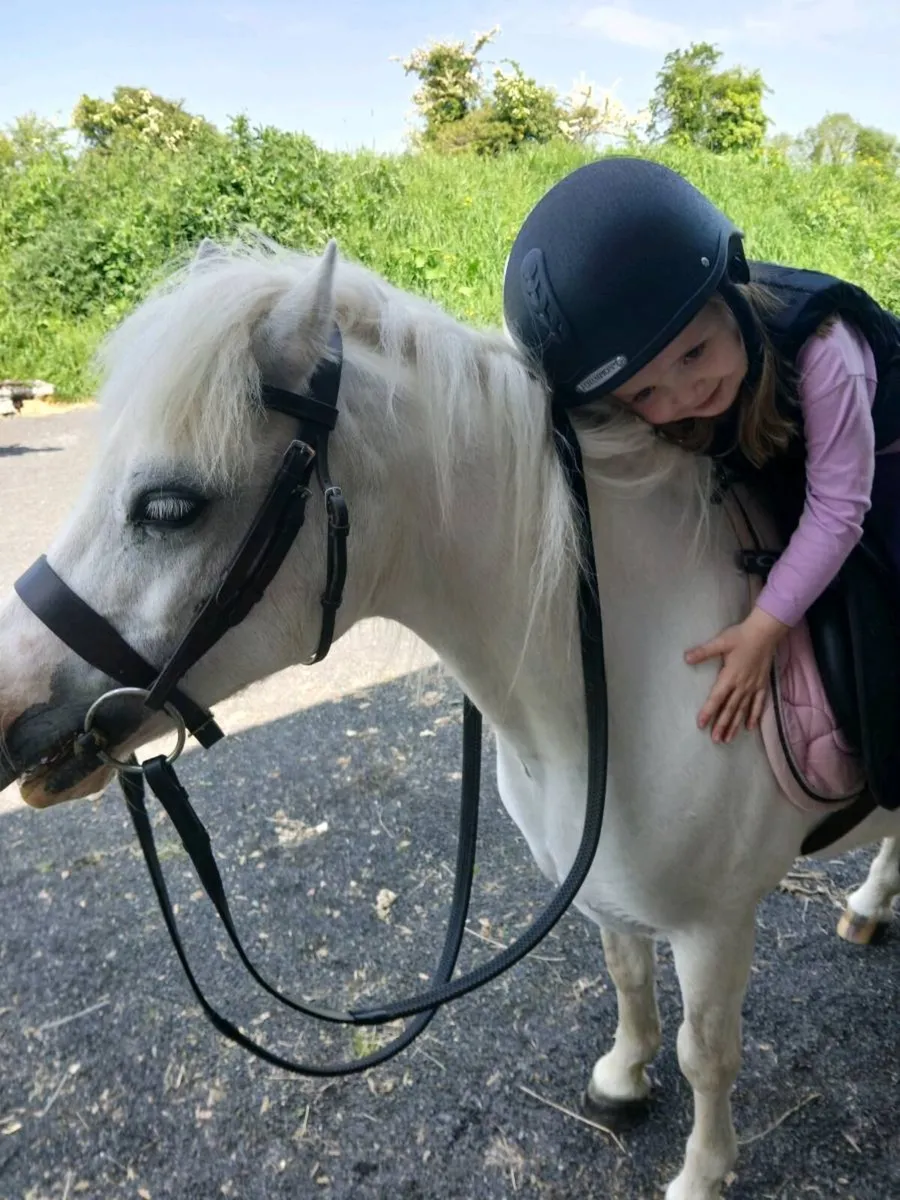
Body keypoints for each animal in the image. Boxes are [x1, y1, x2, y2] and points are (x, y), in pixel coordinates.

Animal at [1, 237, 898, 1200]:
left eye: (169, 506)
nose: (9, 701)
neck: (621, 679)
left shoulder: (715, 928)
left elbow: (708, 1056)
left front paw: (701, 1173)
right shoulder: (607, 890)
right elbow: (626, 979)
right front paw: (624, 1076)